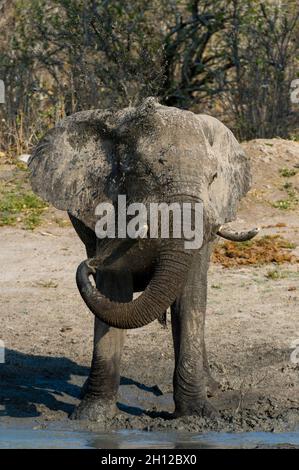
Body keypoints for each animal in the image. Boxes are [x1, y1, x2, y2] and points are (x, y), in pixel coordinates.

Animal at [28, 97, 258, 420]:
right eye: (146, 174)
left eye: (213, 177)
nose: (90, 266)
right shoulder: (107, 205)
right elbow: (114, 288)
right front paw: (92, 417)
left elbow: (191, 296)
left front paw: (197, 415)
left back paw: (211, 387)